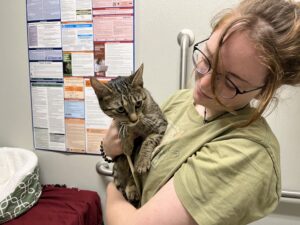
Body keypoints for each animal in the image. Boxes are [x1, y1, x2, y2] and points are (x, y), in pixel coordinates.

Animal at [90, 63, 168, 204]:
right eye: (120, 109)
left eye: (138, 103)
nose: (134, 119)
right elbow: (124, 129)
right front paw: (126, 139)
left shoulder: (161, 125)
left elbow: (148, 141)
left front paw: (142, 161)